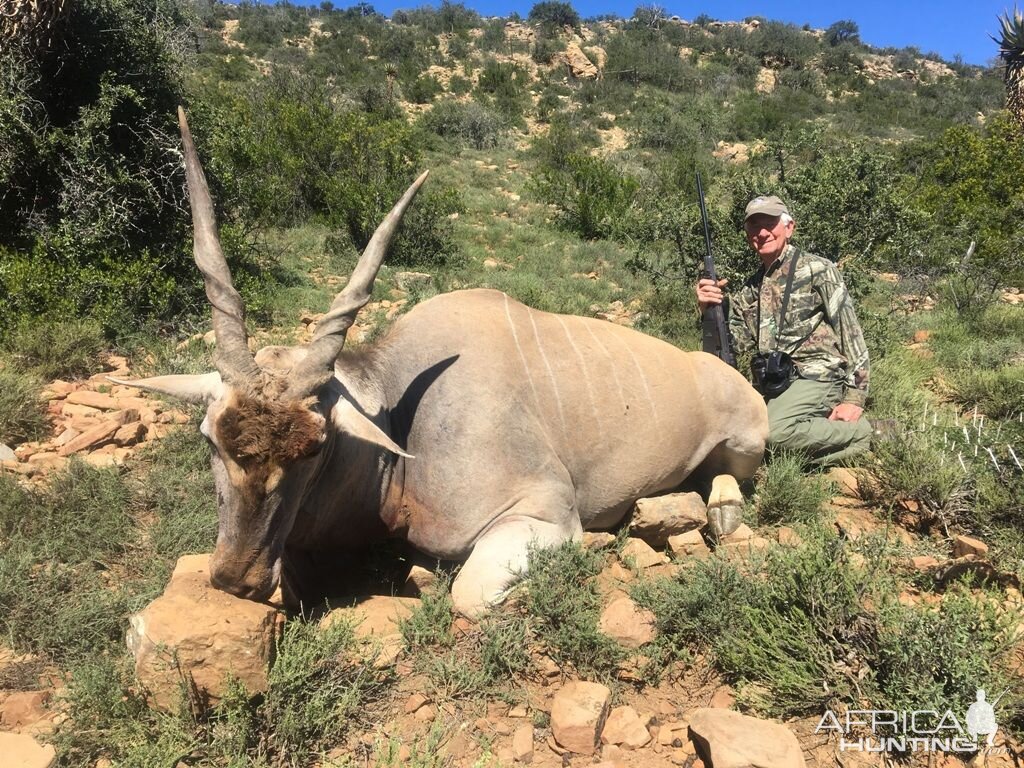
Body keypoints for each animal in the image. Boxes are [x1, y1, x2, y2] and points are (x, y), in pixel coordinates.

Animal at [119, 111, 770, 618]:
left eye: (315, 448)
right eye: (210, 438)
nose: (237, 580)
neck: (401, 420)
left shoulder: (544, 510)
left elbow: (469, 594)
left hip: (747, 441)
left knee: (729, 480)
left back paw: (721, 512)